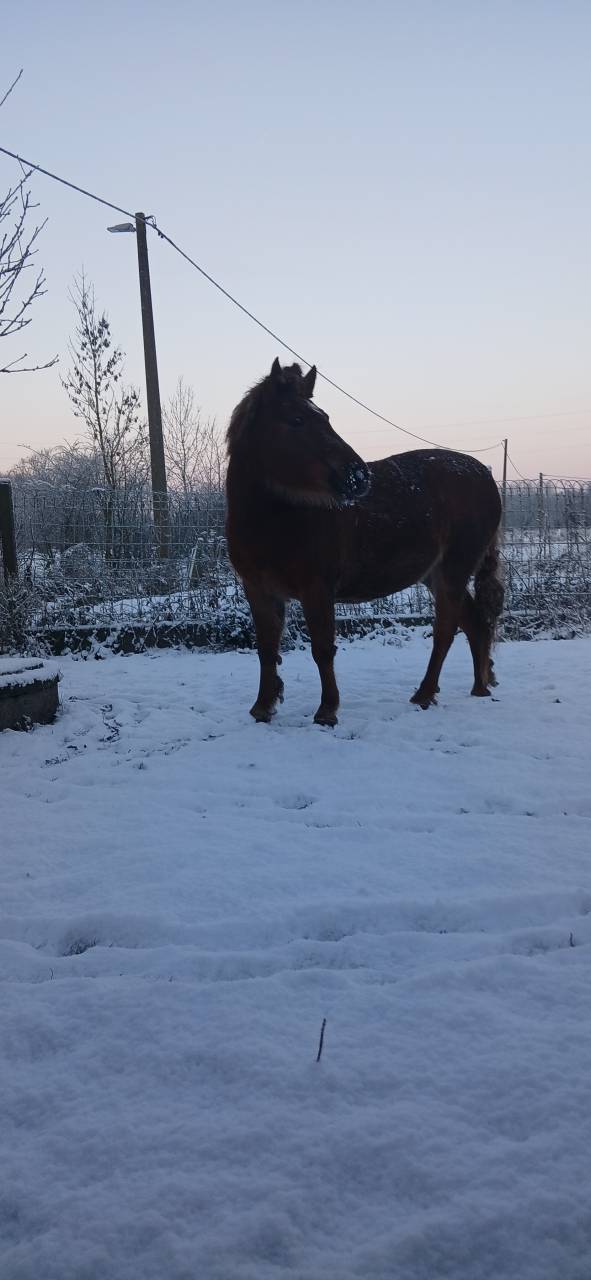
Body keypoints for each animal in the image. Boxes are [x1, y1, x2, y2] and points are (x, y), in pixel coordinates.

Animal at [226, 358, 503, 726]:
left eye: (325, 418)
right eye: (297, 420)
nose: (358, 476)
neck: (277, 519)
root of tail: (485, 475)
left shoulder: (317, 588)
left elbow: (322, 648)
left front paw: (327, 710)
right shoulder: (258, 589)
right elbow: (267, 648)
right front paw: (263, 707)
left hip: (454, 571)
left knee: (446, 630)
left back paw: (425, 694)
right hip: (435, 574)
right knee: (474, 623)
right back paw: (479, 687)